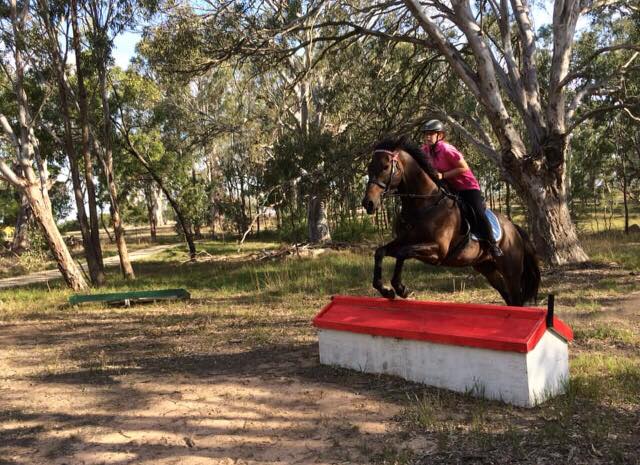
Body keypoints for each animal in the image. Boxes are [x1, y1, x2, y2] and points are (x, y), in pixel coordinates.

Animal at [361, 138, 540, 306]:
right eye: (369, 167)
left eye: (385, 166)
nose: (368, 203)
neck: (425, 204)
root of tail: (514, 228)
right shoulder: (405, 240)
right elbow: (381, 252)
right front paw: (385, 289)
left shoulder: (438, 250)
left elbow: (402, 253)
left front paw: (400, 288)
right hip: (487, 268)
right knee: (508, 297)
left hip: (511, 272)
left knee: (516, 298)